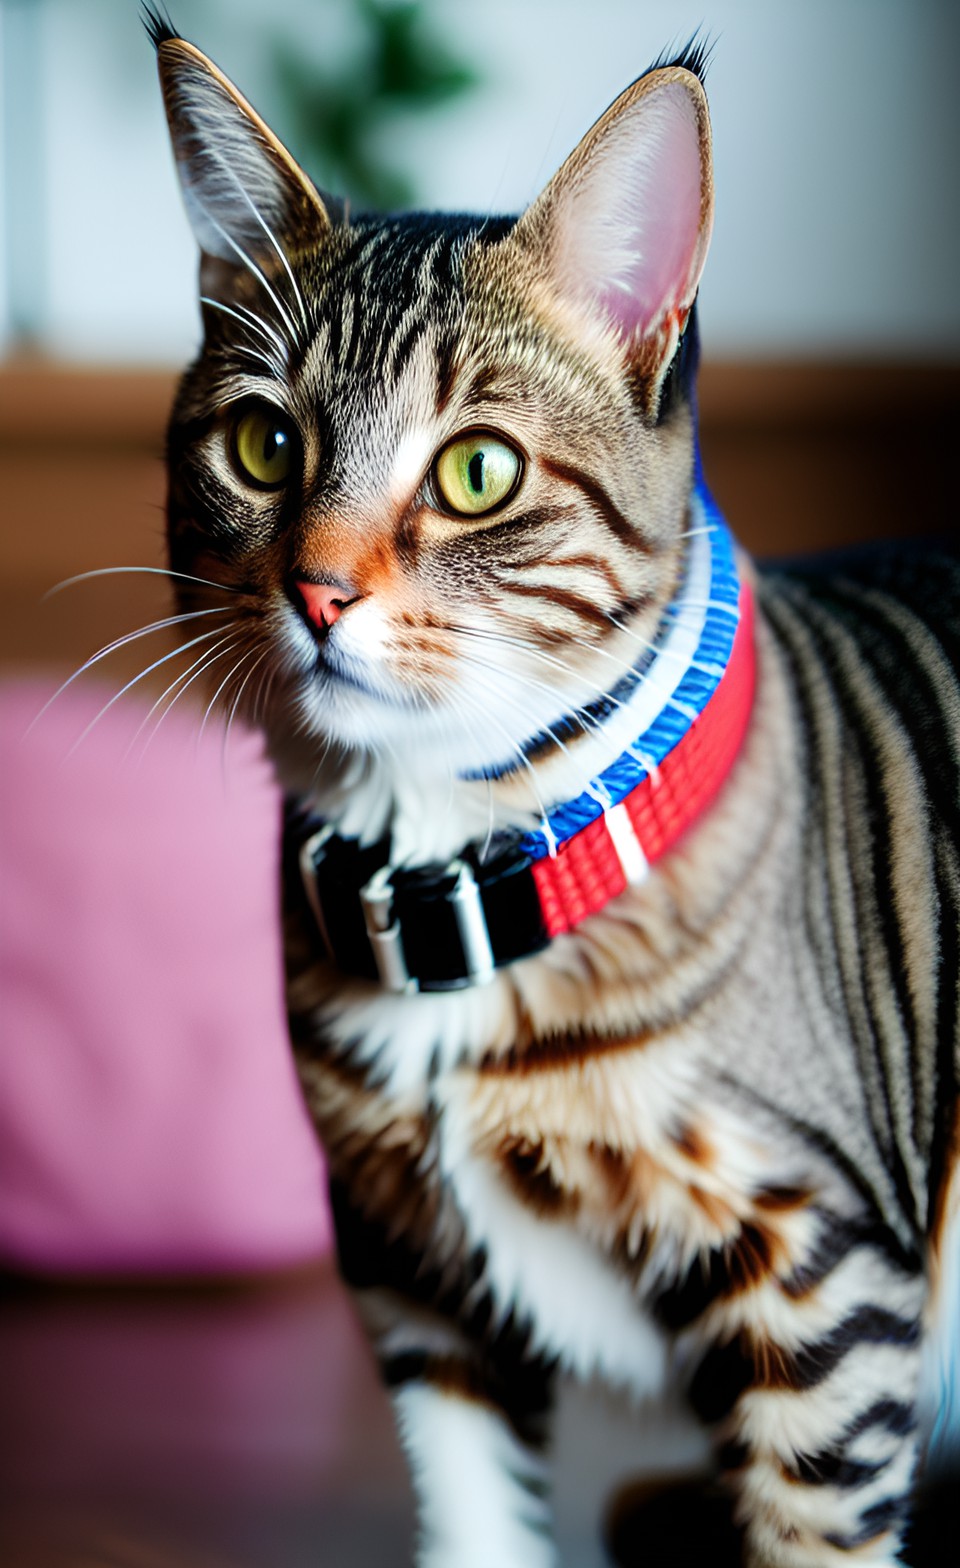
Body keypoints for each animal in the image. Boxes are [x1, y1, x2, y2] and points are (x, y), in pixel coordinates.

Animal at [145, 12, 953, 1568]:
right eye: (265, 445)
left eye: (477, 471)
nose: (316, 589)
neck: (449, 882)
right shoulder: (414, 1272)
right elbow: (476, 1515)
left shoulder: (819, 1279)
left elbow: (813, 1527)